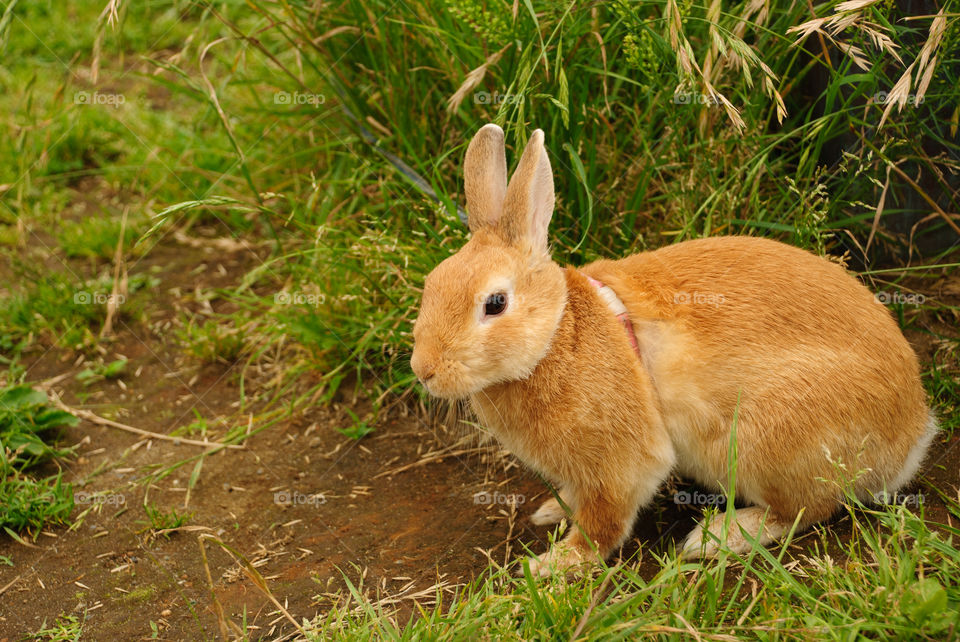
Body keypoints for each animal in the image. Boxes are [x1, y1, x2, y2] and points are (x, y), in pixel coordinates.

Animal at [410, 123, 937, 577]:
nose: (424, 370)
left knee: (805, 508)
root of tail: (912, 434)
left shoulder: (620, 464)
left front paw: (555, 564)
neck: (557, 335)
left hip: (764, 439)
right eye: (432, 283)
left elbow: (605, 521)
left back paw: (719, 536)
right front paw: (549, 512)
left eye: (495, 303)